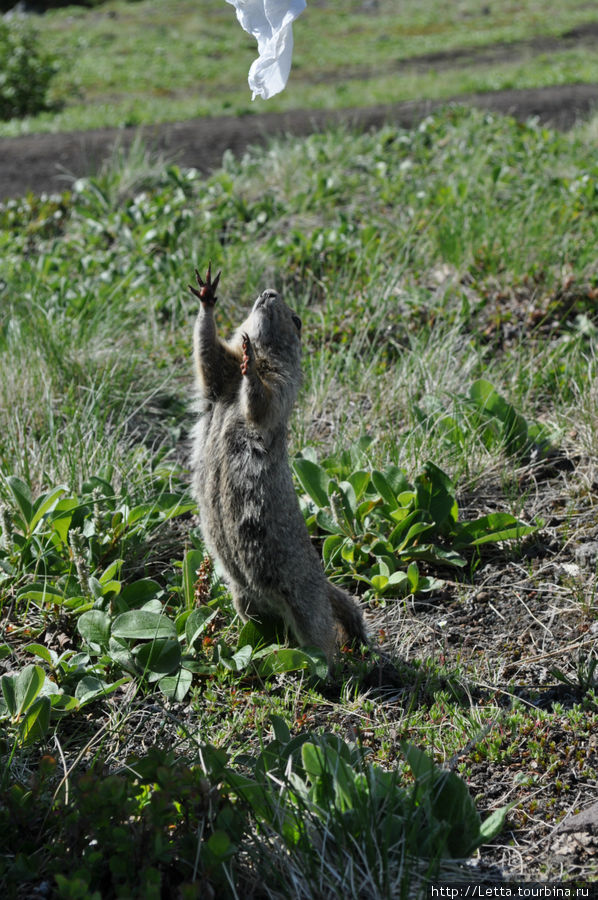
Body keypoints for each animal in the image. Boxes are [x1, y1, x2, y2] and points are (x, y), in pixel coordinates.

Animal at [190, 264, 368, 664]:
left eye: (296, 319)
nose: (269, 292)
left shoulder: (281, 384)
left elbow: (263, 402)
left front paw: (251, 366)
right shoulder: (220, 375)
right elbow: (207, 353)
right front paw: (207, 297)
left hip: (305, 601)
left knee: (321, 637)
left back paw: (329, 665)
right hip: (242, 596)